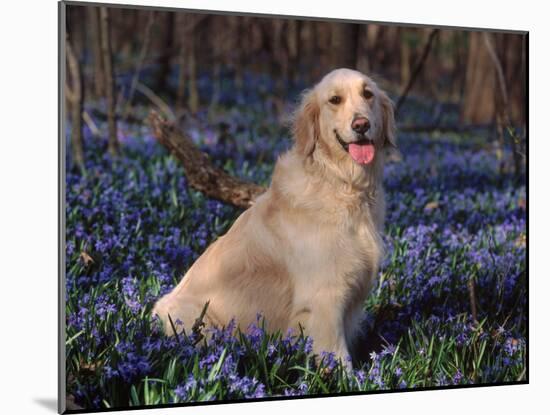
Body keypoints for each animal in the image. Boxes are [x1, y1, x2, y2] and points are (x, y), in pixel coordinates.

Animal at [154, 68, 396, 368]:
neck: (340, 183)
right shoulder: (324, 298)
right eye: (335, 100)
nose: (361, 124)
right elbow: (337, 355)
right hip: (198, 321)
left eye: (368, 94)